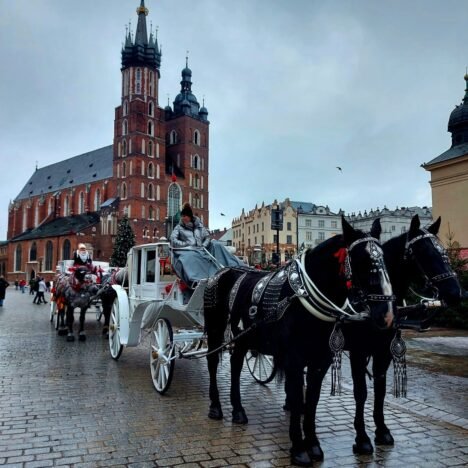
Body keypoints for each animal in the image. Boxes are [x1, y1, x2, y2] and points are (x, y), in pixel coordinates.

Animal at [204, 217, 394, 464]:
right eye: (361, 260)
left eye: (384, 259)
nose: (387, 314)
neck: (302, 297)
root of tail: (221, 271)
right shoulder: (294, 360)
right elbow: (296, 398)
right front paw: (298, 449)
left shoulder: (320, 360)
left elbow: (311, 399)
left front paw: (313, 445)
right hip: (215, 330)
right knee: (212, 363)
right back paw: (216, 407)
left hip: (244, 338)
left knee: (235, 365)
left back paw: (238, 410)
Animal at [342, 215, 462, 454]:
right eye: (424, 252)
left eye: (443, 250)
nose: (455, 293)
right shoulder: (358, 353)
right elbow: (361, 392)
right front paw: (362, 437)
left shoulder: (383, 352)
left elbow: (380, 390)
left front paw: (382, 430)